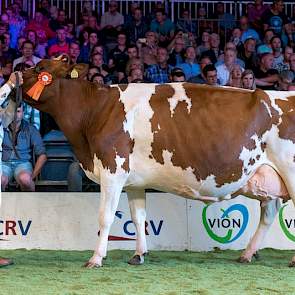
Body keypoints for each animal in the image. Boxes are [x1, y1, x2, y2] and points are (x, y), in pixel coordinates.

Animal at [22, 58, 295, 268]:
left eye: (40, 69)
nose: (17, 71)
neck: (95, 112)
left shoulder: (113, 170)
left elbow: (105, 217)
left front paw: (96, 258)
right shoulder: (134, 181)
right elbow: (138, 217)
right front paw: (138, 255)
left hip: (290, 172)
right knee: (269, 212)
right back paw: (247, 254)